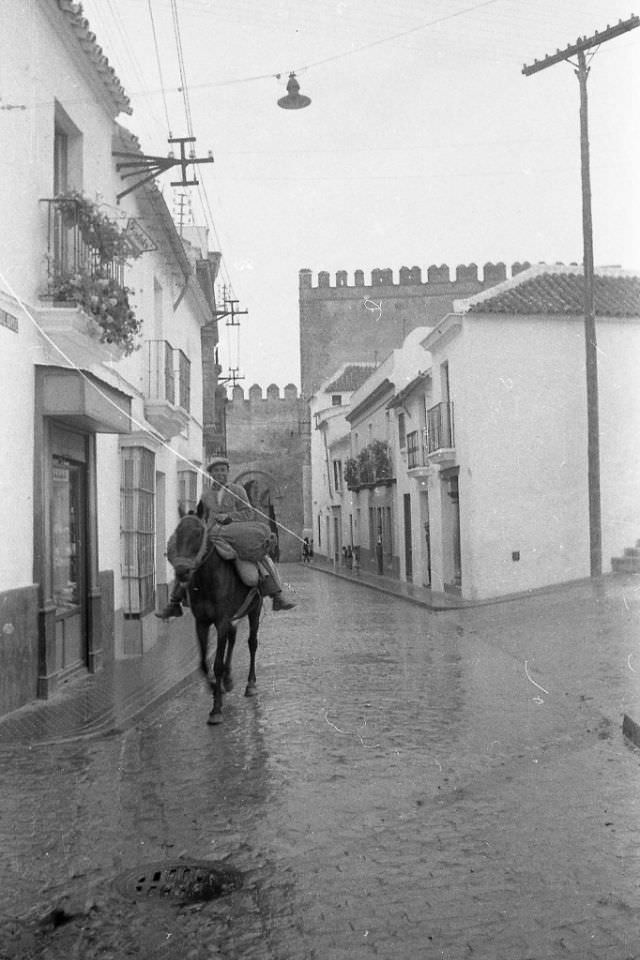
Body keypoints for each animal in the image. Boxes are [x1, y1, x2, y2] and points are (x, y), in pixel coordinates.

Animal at [169, 512, 264, 724]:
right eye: (177, 532)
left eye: (199, 534)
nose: (182, 571)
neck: (206, 582)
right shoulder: (202, 623)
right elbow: (204, 664)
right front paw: (215, 687)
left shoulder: (221, 621)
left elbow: (217, 664)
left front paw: (216, 709)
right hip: (233, 617)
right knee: (232, 639)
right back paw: (227, 681)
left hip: (254, 609)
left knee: (252, 643)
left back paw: (251, 684)